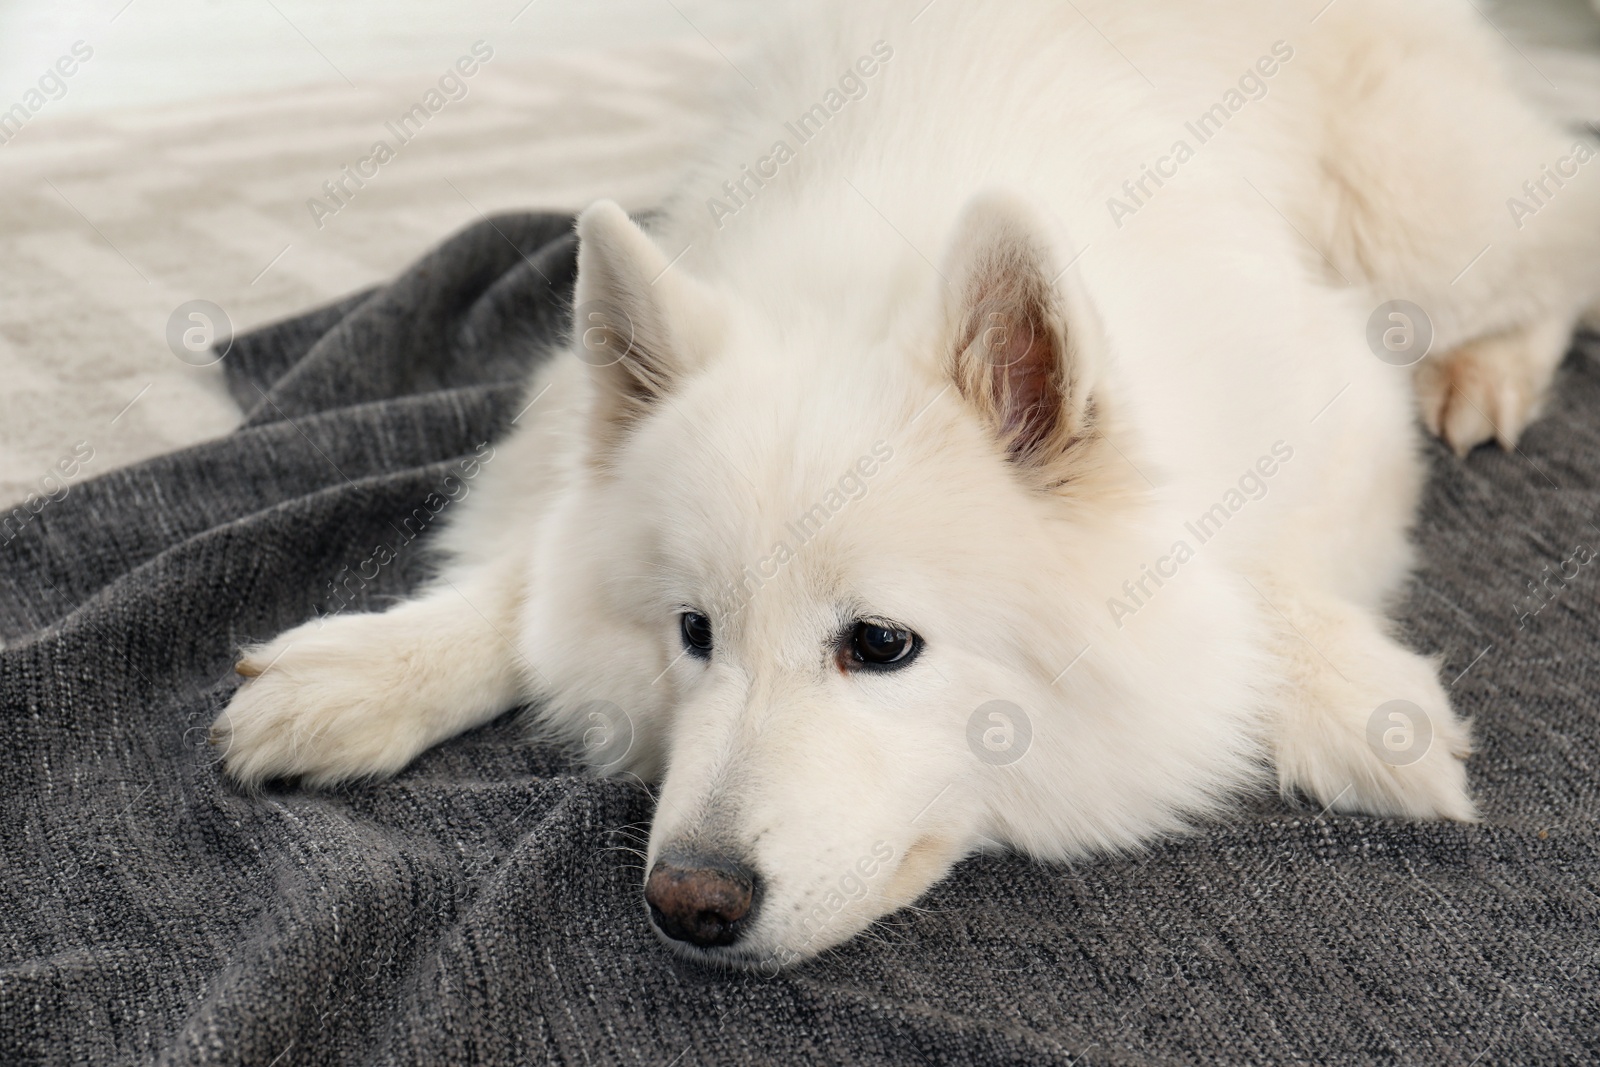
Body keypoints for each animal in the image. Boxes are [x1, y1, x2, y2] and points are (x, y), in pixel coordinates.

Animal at [212, 0, 1600, 966]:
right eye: (692, 631)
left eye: (880, 644)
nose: (689, 900)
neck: (876, 275)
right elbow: (522, 575)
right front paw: (371, 671)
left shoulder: (1336, 409)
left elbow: (1267, 564)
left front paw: (1354, 704)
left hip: (1416, 218)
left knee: (1564, 222)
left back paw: (1484, 375)